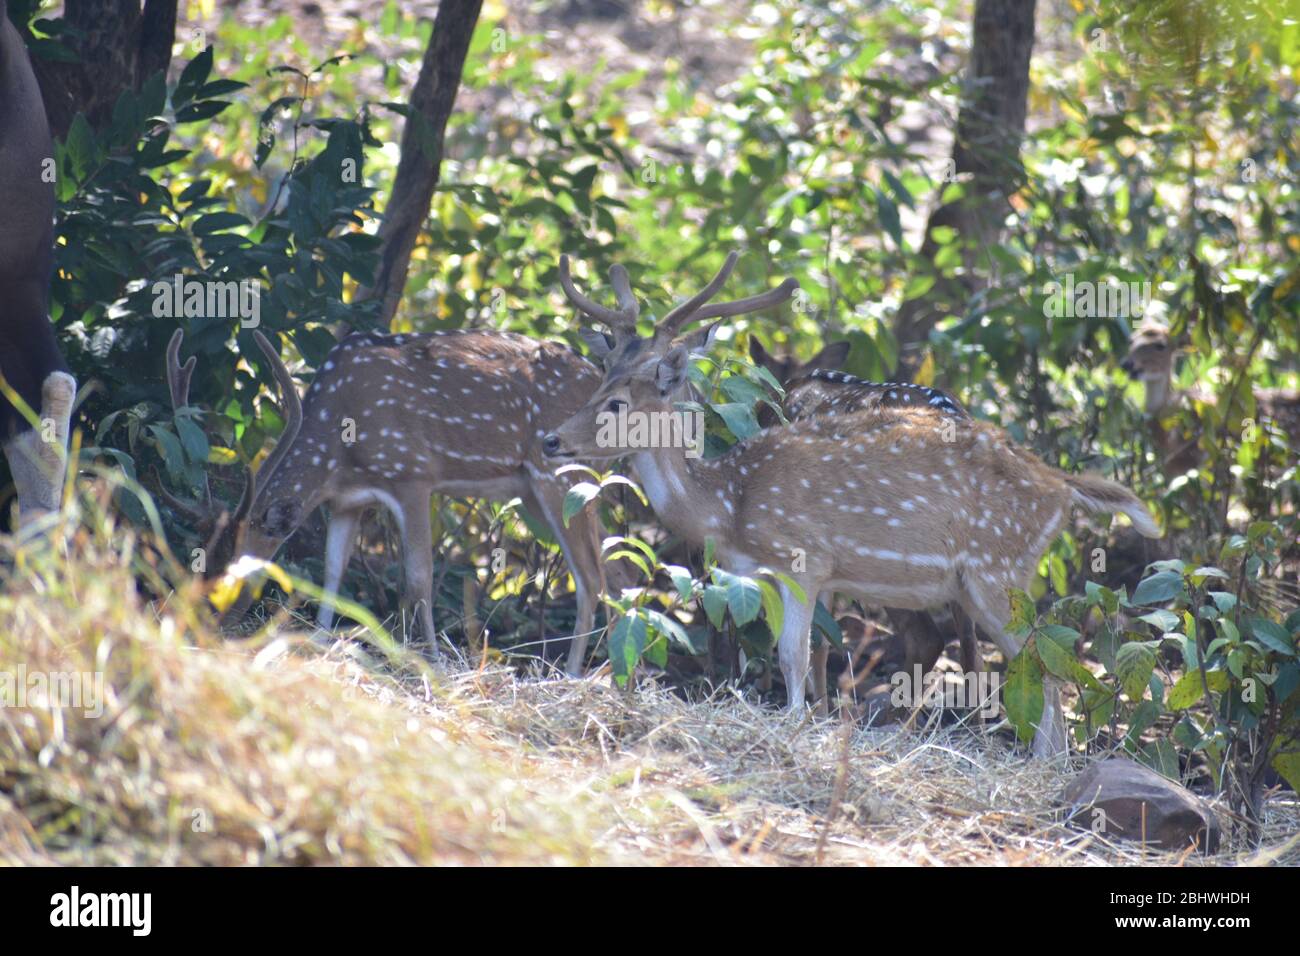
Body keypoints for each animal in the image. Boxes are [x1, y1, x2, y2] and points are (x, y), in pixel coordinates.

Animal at [167, 323, 613, 671]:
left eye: (233, 569)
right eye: (199, 560)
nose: (206, 623)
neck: (340, 447)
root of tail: (598, 375)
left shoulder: (412, 473)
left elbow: (419, 579)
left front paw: (433, 662)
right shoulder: (347, 502)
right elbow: (332, 572)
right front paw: (320, 640)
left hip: (560, 475)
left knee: (591, 577)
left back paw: (571, 676)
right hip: (538, 492)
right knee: (615, 567)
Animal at [543, 256, 1164, 764]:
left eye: (616, 403)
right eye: (600, 378)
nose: (551, 440)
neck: (728, 504)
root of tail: (1060, 487)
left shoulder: (806, 560)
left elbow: (795, 657)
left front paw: (797, 731)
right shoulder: (768, 575)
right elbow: (795, 655)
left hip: (998, 567)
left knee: (1046, 666)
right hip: (980, 583)